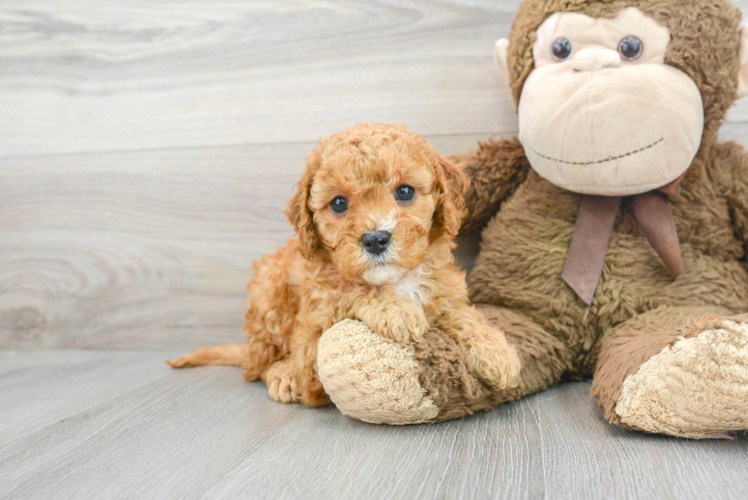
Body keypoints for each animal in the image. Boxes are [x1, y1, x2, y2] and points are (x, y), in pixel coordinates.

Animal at [169, 124, 520, 406]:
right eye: (338, 203)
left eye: (405, 191)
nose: (376, 239)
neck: (397, 281)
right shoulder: (315, 325)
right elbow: (350, 289)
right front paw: (397, 311)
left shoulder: (444, 291)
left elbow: (463, 315)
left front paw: (496, 351)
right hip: (269, 295)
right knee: (258, 366)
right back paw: (283, 375)